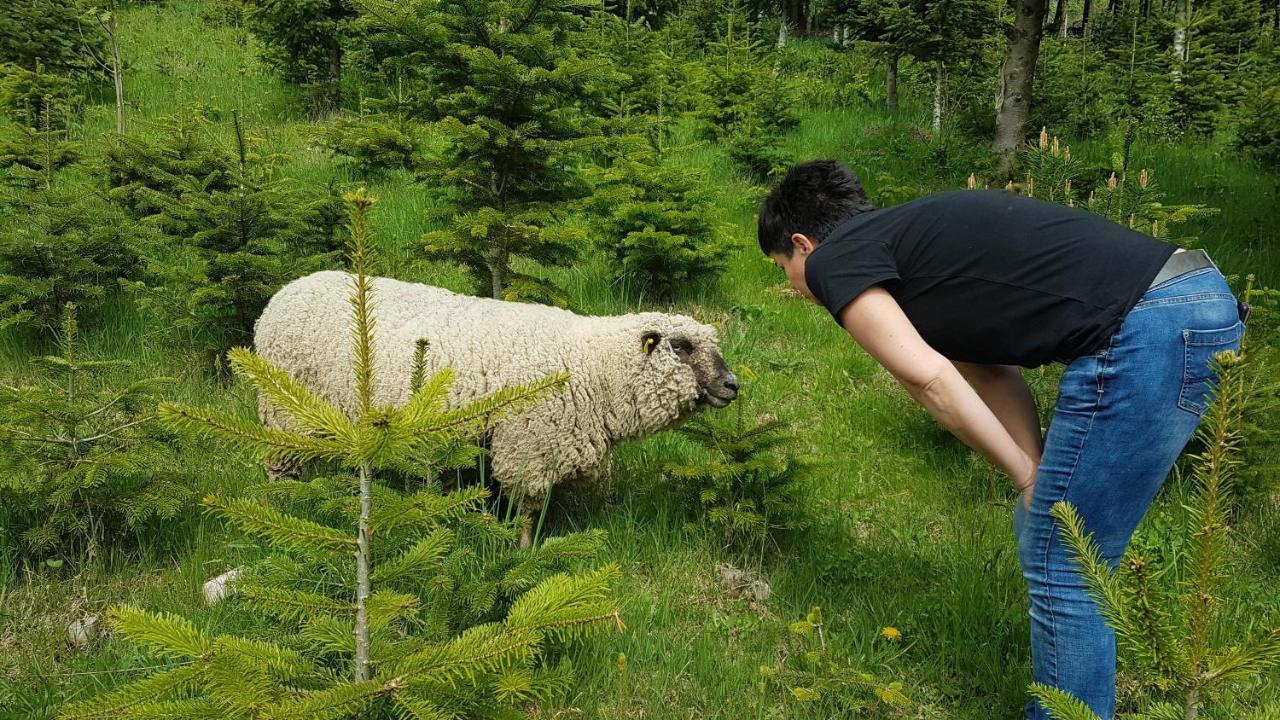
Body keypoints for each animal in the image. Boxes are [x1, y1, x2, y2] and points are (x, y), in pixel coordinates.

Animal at [253, 269, 737, 543]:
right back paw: (285, 509)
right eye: (681, 346)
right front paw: (522, 553)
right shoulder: (529, 447)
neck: (594, 368)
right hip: (284, 405)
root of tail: (284, 293)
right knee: (280, 465)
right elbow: (526, 512)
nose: (732, 385)